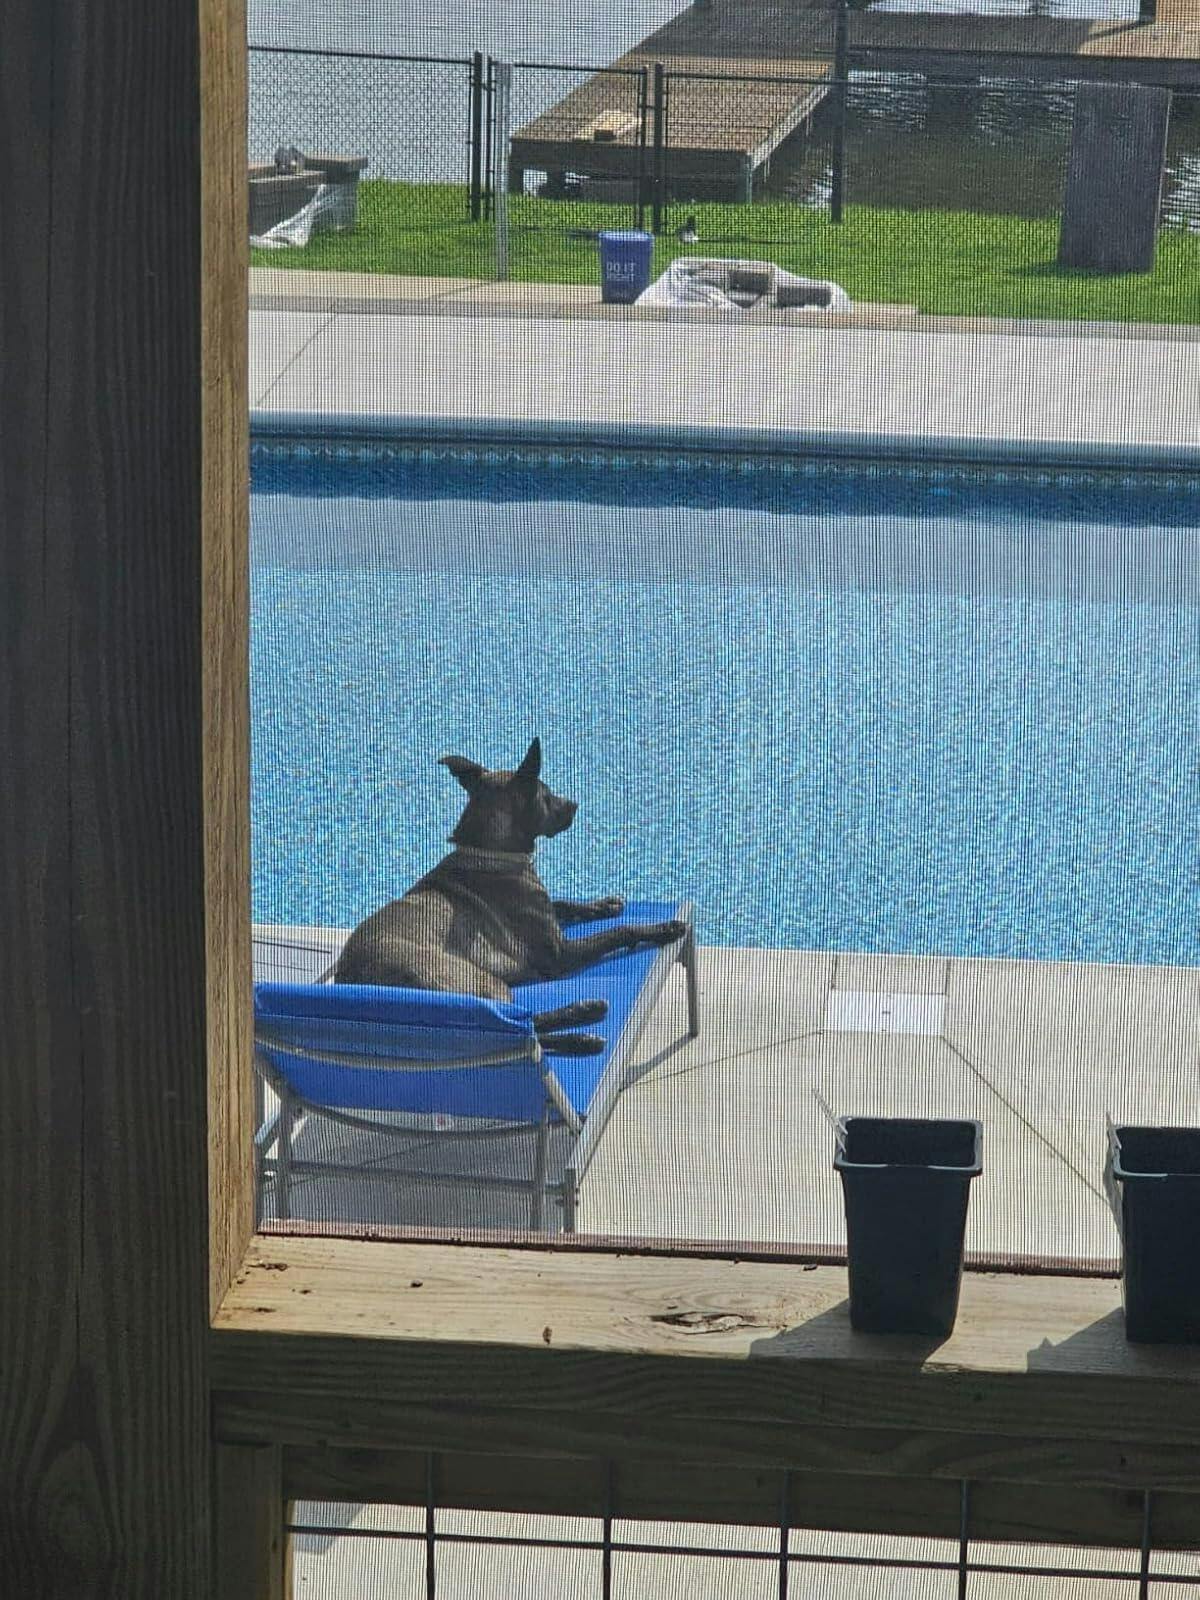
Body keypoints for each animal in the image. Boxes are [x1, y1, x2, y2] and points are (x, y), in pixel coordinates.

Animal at [333, 738, 687, 1054]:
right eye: (546, 794)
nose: (574, 805)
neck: (490, 853)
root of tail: (357, 981)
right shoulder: (559, 954)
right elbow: (619, 931)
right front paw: (665, 928)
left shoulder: (545, 911)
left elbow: (563, 903)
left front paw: (604, 905)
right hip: (482, 982)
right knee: (522, 1029)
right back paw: (581, 1027)